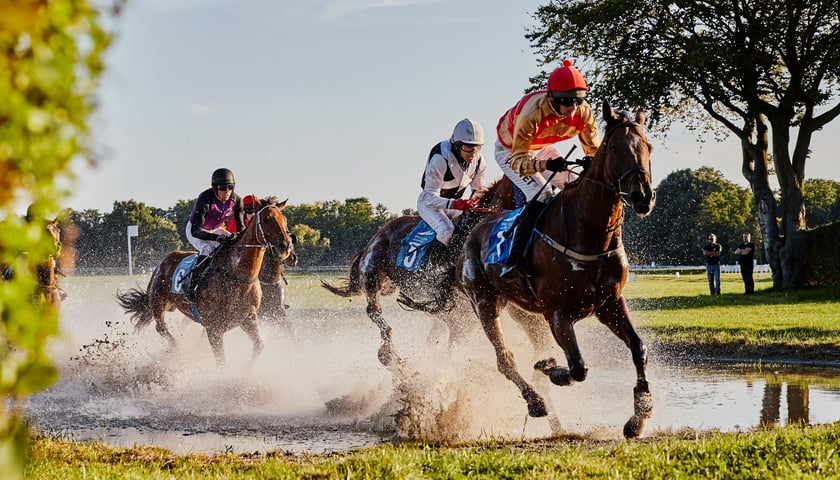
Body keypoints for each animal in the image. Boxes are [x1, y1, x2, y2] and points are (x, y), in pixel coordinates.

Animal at [115, 198, 292, 364]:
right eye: (267, 219)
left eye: (284, 219)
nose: (285, 246)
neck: (238, 276)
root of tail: (162, 263)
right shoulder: (214, 328)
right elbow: (221, 361)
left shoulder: (248, 318)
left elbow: (259, 346)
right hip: (158, 302)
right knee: (161, 328)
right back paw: (176, 350)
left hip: (171, 305)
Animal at [460, 101, 656, 438]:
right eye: (615, 148)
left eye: (648, 147)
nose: (643, 196)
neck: (588, 231)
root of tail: (476, 227)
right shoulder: (557, 312)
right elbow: (578, 367)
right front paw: (551, 370)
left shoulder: (609, 303)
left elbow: (638, 347)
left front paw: (639, 416)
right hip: (484, 302)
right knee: (504, 358)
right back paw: (536, 400)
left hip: (524, 312)